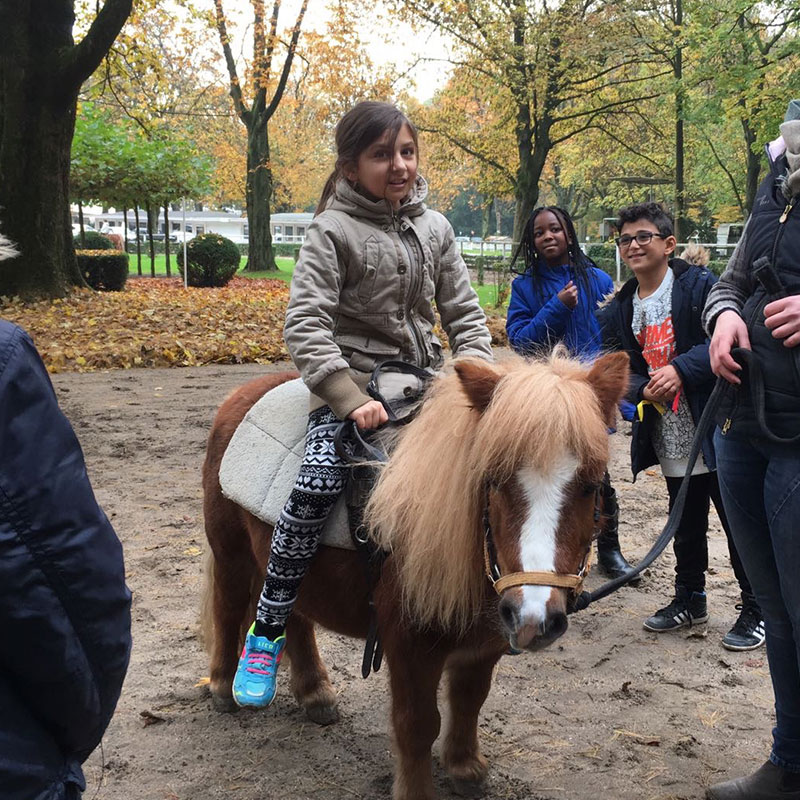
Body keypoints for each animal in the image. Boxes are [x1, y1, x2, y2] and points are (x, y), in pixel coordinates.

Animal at [203, 352, 628, 800]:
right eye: (493, 479)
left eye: (590, 485)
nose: (534, 617)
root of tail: (244, 393)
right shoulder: (408, 644)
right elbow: (418, 725)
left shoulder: (485, 642)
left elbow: (470, 700)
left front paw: (465, 768)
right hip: (231, 553)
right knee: (229, 608)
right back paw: (225, 685)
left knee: (297, 615)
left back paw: (315, 693)